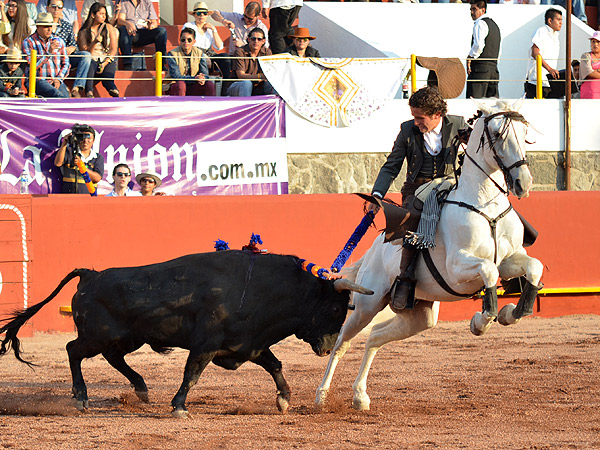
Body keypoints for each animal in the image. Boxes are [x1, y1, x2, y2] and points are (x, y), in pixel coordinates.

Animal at [0, 251, 372, 416]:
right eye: (336, 310)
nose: (327, 348)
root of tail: (90, 275)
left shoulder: (247, 344)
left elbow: (276, 365)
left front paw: (283, 400)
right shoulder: (206, 345)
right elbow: (191, 374)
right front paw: (179, 406)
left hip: (125, 338)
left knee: (112, 357)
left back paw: (141, 389)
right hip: (98, 335)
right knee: (73, 350)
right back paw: (81, 396)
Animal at [316, 98, 548, 412]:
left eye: (525, 134)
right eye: (498, 134)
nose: (523, 182)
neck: (483, 205)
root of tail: (374, 250)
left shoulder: (510, 259)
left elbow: (534, 266)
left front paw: (511, 312)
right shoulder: (457, 268)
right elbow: (488, 272)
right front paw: (480, 321)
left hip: (420, 315)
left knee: (375, 337)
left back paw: (360, 396)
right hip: (367, 304)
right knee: (342, 341)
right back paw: (322, 395)